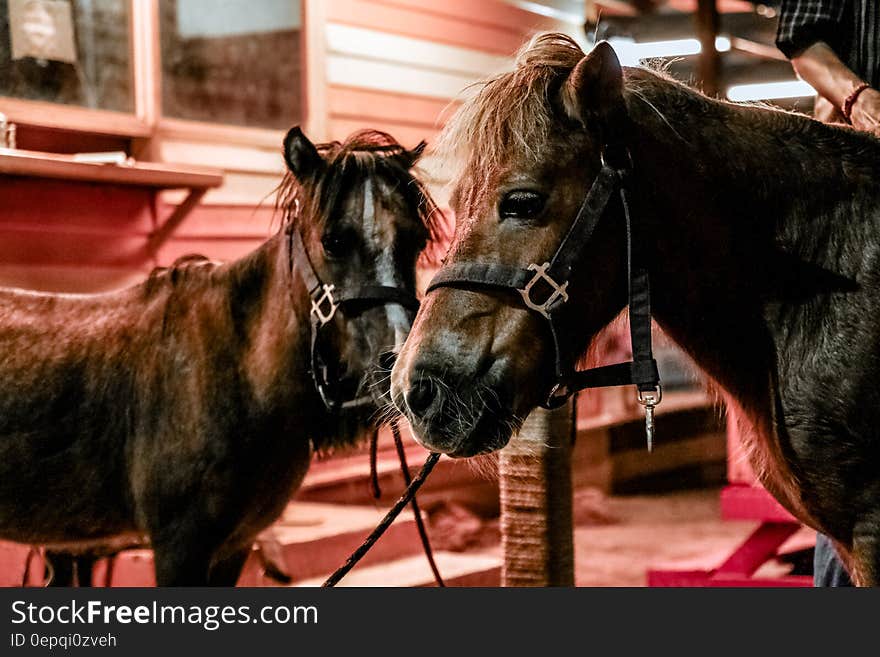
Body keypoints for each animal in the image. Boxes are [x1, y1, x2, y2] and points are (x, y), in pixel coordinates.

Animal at [0, 128, 440, 584]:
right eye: (334, 241)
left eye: (417, 241)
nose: (401, 368)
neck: (236, 376)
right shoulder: (179, 546)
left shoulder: (235, 545)